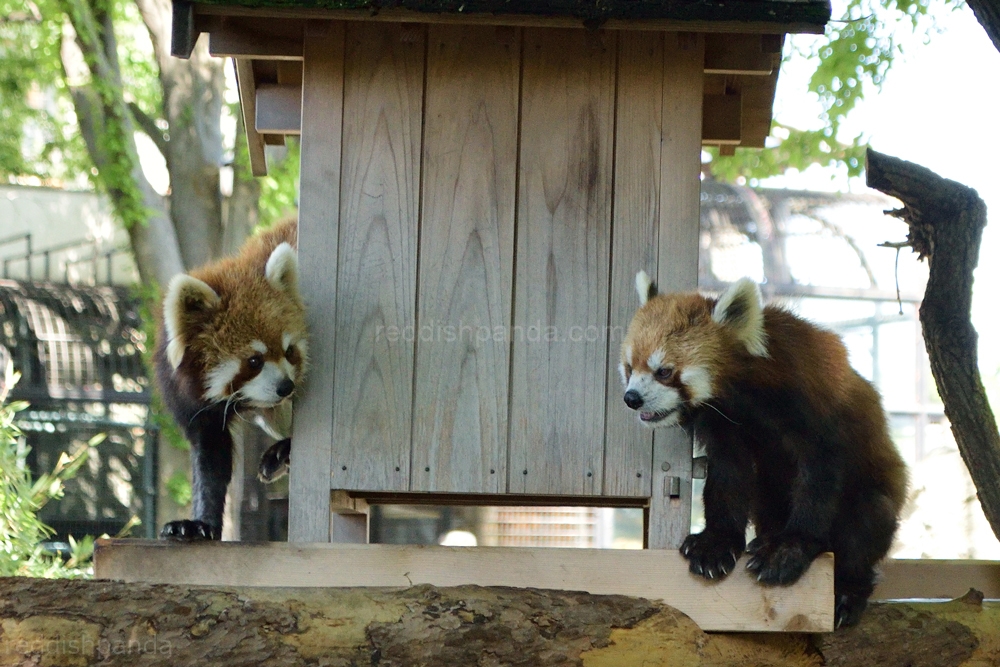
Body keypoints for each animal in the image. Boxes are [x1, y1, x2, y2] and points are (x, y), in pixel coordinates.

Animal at [153, 220, 304, 544]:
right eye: (254, 361)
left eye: (289, 351)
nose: (286, 387)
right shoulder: (193, 403)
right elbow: (211, 458)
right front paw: (198, 524)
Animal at [620, 274, 912, 628]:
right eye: (629, 367)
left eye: (663, 371)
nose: (632, 398)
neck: (741, 392)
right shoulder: (723, 422)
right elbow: (730, 473)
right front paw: (716, 542)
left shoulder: (811, 398)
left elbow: (820, 473)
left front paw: (790, 548)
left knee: (868, 518)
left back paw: (847, 591)